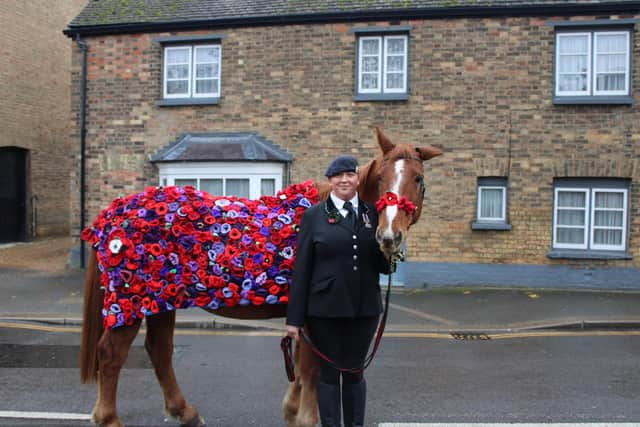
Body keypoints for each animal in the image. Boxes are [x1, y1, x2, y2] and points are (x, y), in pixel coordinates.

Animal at [79, 128, 440, 427]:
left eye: (418, 179)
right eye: (381, 178)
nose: (389, 236)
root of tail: (112, 213)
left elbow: (300, 365)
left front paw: (292, 410)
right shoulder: (311, 315)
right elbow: (311, 367)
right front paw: (306, 418)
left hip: (160, 301)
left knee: (159, 350)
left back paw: (185, 412)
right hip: (131, 303)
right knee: (111, 354)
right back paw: (109, 419)